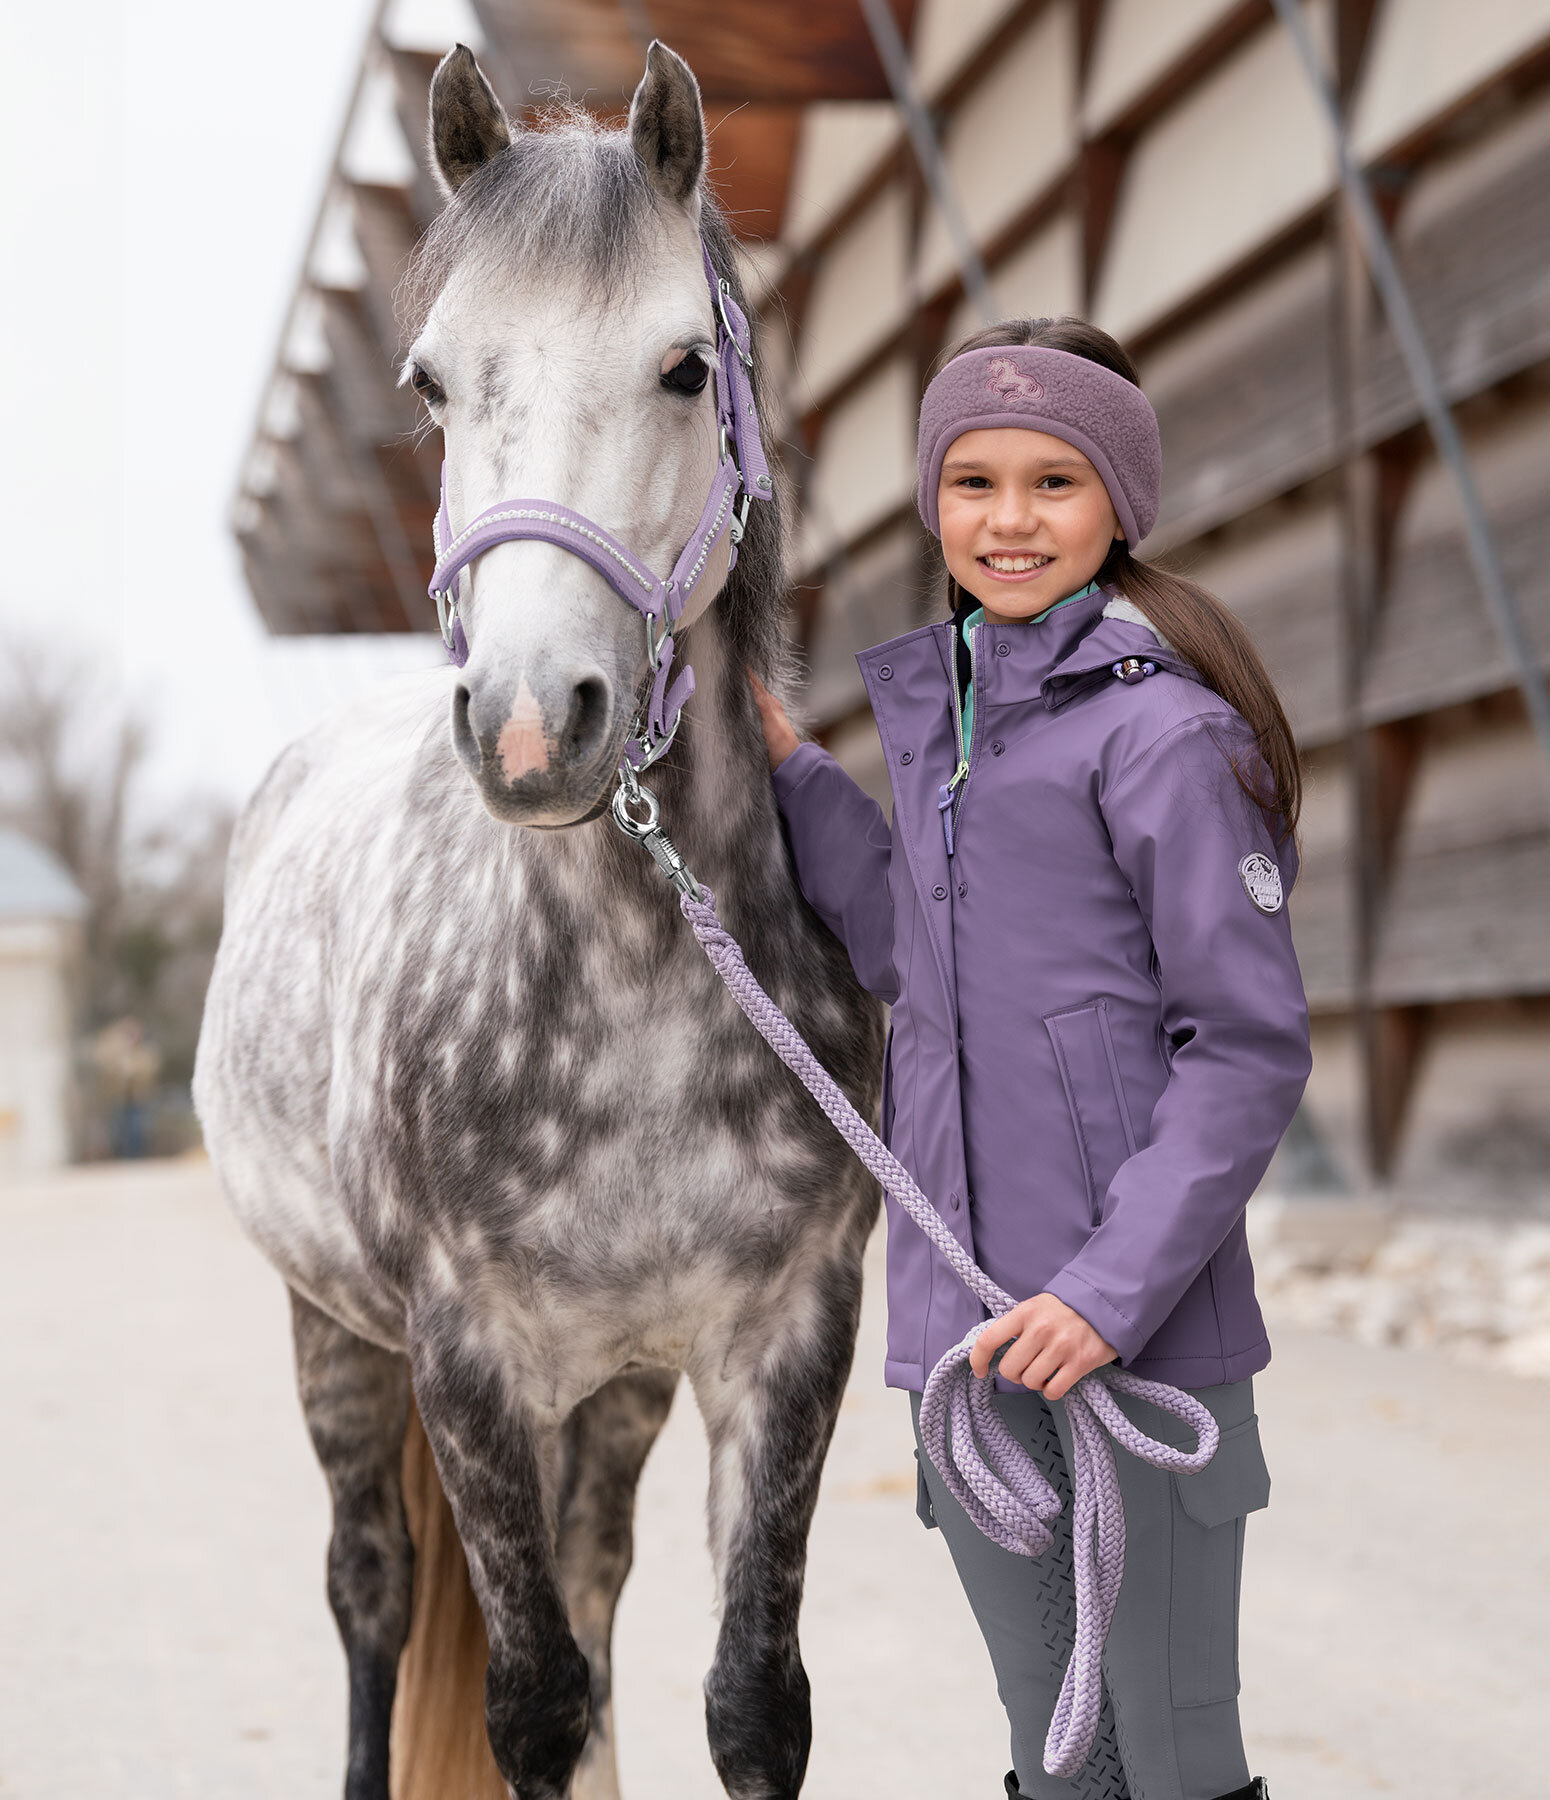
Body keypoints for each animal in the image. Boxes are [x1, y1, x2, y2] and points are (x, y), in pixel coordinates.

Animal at [196, 42, 882, 1800]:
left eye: (685, 367)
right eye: (431, 383)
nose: (526, 722)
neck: (624, 995)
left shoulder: (784, 1339)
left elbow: (746, 1701)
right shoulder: (464, 1360)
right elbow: (527, 1703)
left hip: (616, 1388)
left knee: (589, 1577)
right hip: (334, 1336)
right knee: (373, 1593)